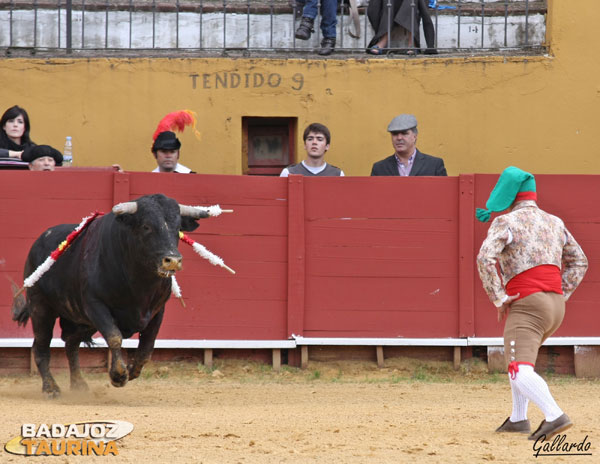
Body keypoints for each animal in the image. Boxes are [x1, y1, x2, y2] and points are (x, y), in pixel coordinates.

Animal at [10, 194, 210, 396]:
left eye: (178, 228)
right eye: (146, 226)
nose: (173, 261)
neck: (141, 283)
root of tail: (38, 243)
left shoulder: (157, 311)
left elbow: (146, 349)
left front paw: (131, 371)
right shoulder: (95, 305)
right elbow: (114, 337)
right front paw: (118, 376)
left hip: (83, 321)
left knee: (71, 344)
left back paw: (79, 385)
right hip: (41, 308)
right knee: (41, 347)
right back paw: (51, 389)